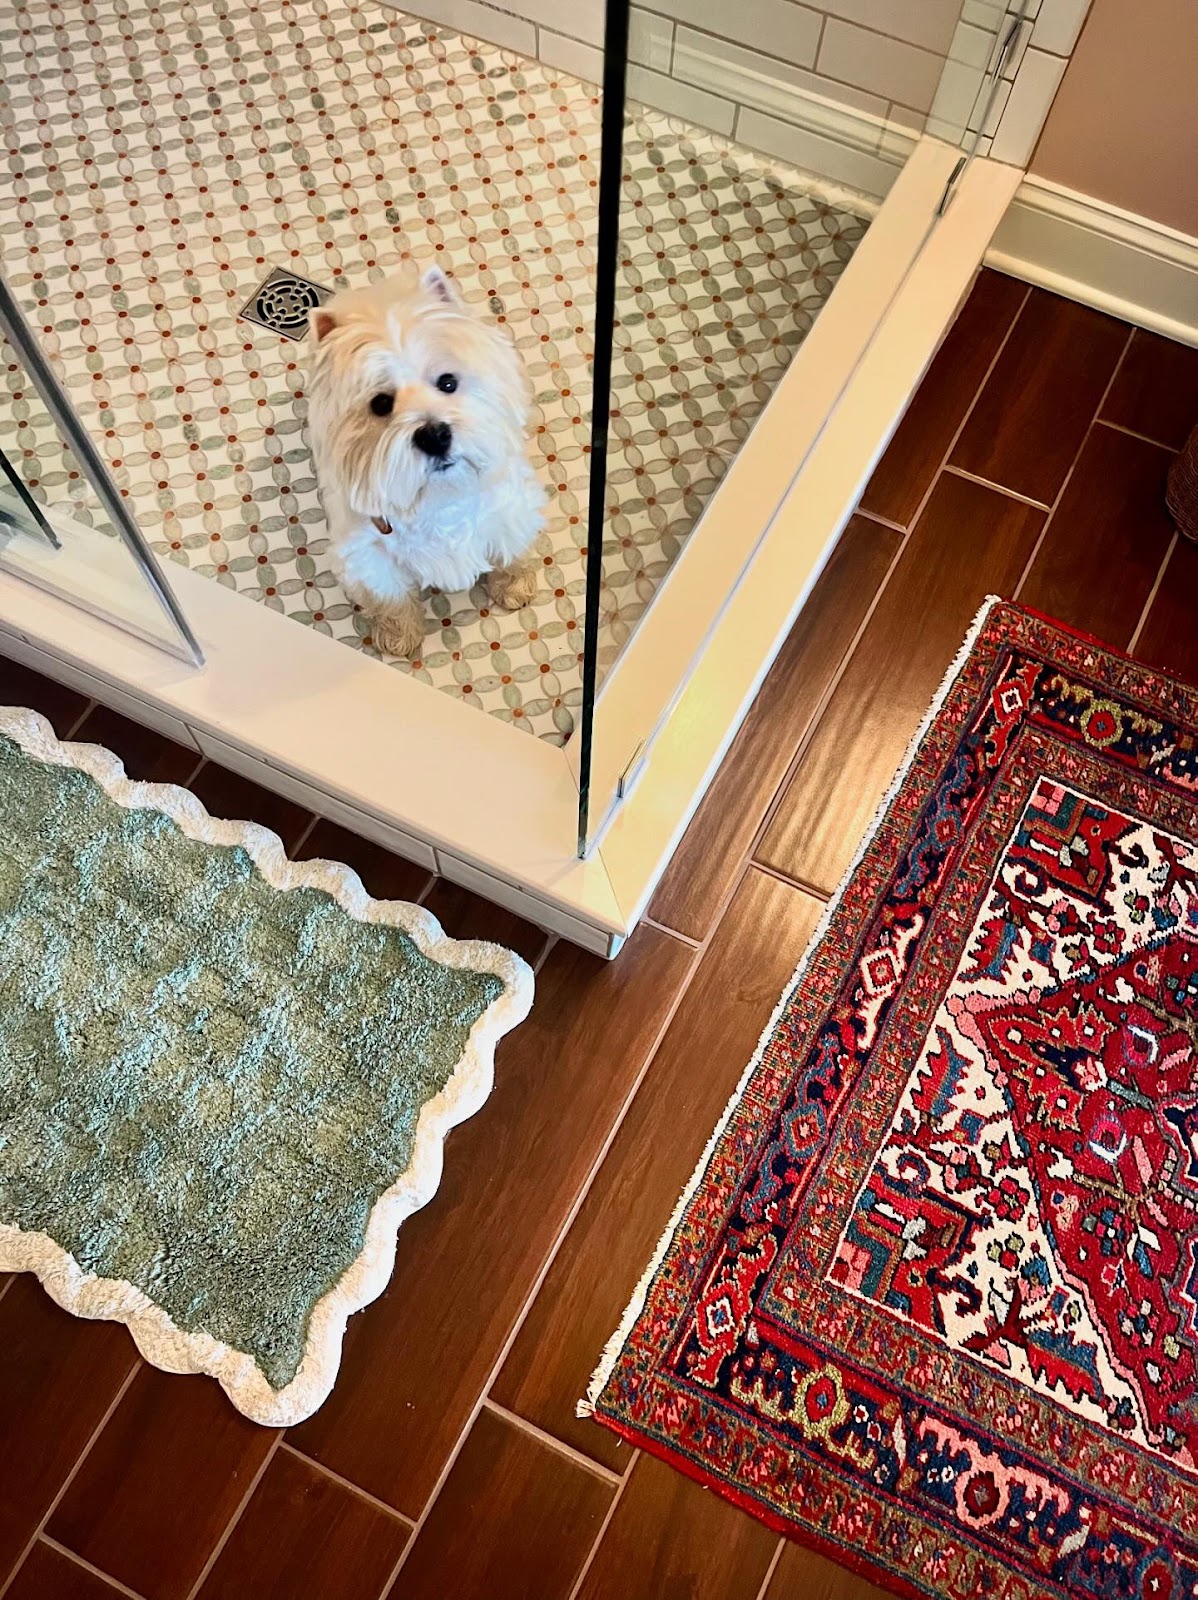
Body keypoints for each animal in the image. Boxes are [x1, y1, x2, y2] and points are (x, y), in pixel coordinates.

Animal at [310, 268, 550, 656]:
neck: (438, 497)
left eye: (448, 382)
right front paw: (399, 635)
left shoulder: (509, 508)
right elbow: (390, 597)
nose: (434, 435)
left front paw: (514, 586)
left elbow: (511, 550)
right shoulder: (369, 555)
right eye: (380, 403)